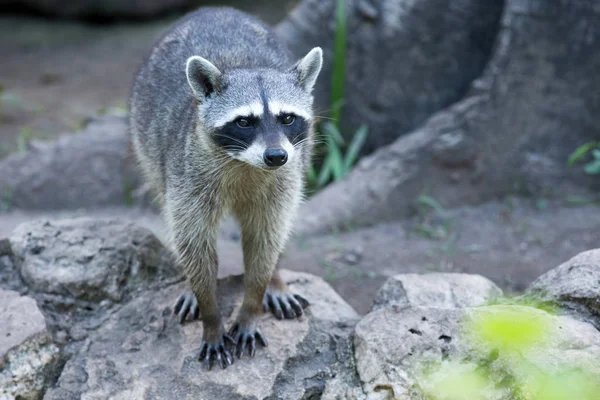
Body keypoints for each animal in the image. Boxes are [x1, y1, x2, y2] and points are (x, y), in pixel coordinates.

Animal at [127, 6, 324, 370]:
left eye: (287, 118)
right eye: (244, 122)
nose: (276, 155)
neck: (246, 164)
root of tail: (213, 9)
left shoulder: (284, 178)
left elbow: (264, 239)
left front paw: (252, 304)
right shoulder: (188, 179)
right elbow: (195, 245)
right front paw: (211, 316)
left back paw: (276, 277)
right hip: (146, 139)